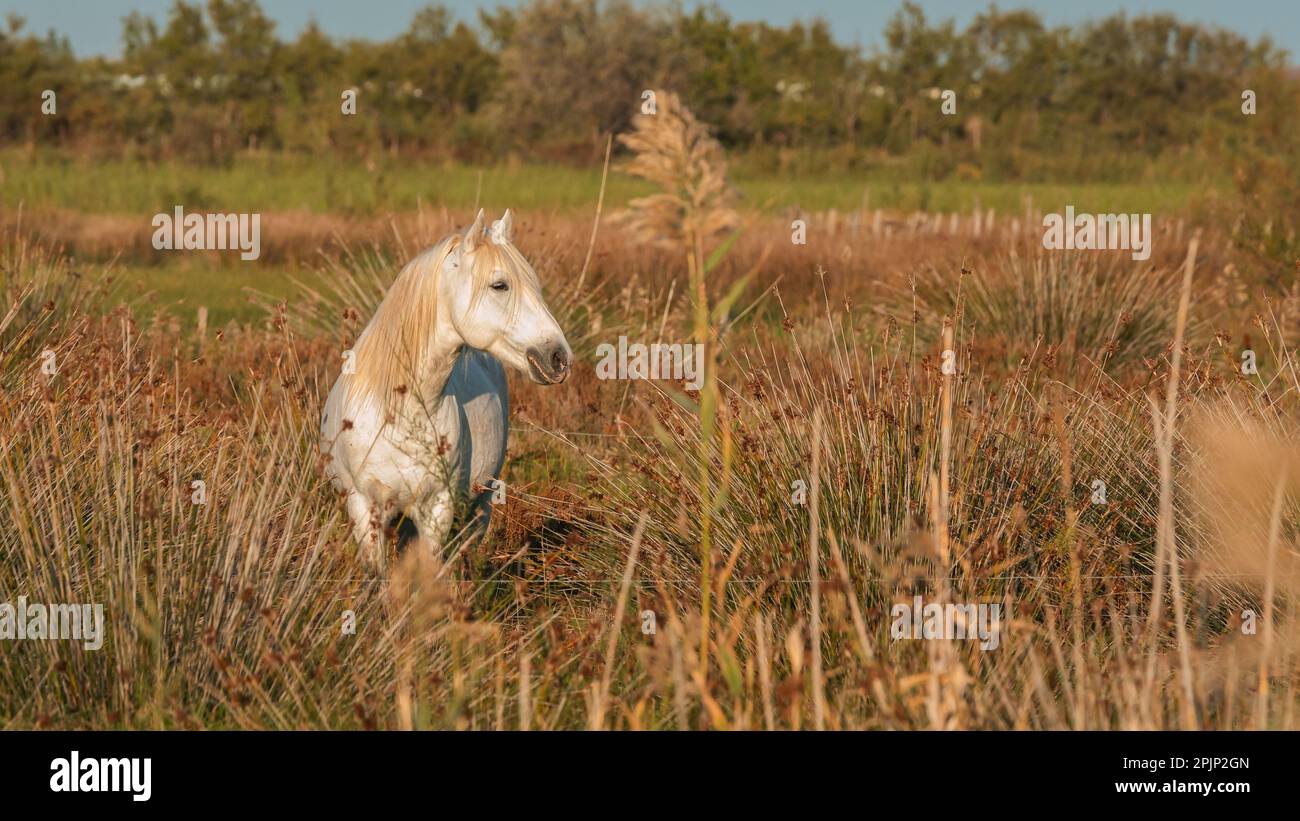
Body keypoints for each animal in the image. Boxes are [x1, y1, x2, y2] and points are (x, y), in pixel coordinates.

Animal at [319, 207, 569, 561]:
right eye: (500, 285)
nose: (559, 357)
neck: (397, 413)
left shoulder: (437, 510)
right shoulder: (364, 509)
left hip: (480, 503)